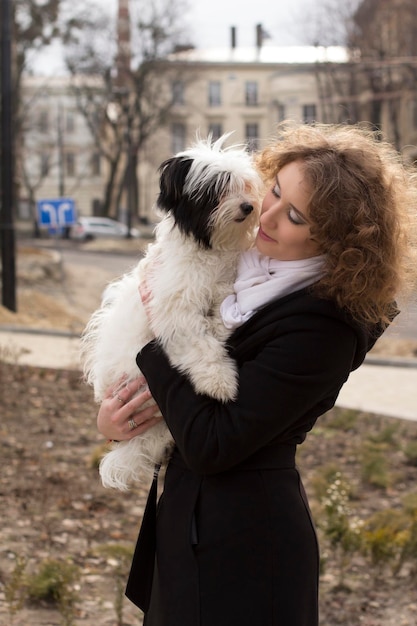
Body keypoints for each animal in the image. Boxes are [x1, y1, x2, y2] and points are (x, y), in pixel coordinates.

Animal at [81, 135, 262, 488]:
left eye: (244, 186)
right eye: (217, 190)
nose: (248, 206)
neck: (209, 251)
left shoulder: (224, 288)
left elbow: (221, 315)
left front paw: (220, 330)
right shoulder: (175, 309)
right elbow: (199, 346)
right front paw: (219, 381)